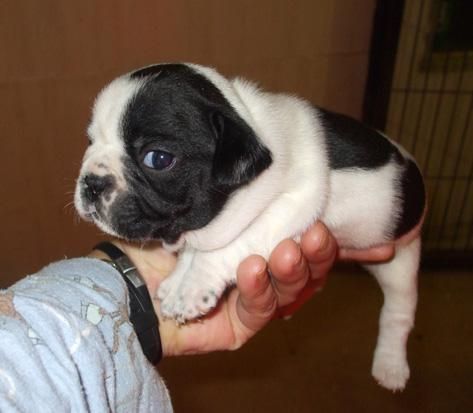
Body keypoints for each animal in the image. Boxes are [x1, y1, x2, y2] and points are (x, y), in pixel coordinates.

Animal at [74, 63, 424, 390]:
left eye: (157, 159)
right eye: (90, 142)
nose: (91, 182)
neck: (248, 119)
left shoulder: (292, 204)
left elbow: (227, 246)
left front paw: (192, 287)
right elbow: (194, 250)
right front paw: (178, 279)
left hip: (400, 258)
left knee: (398, 312)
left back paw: (391, 366)